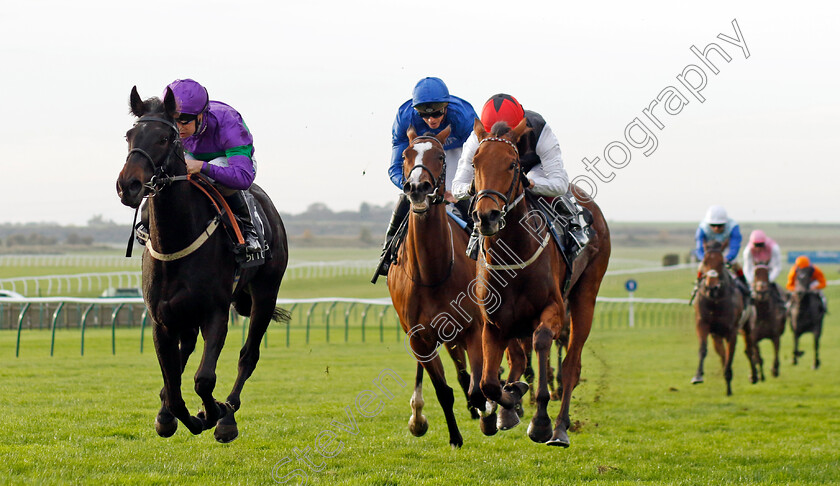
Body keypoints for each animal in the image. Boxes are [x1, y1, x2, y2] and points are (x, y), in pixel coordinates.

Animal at [115, 85, 288, 442]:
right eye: (129, 135)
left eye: (165, 138)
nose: (129, 185)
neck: (176, 242)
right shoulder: (161, 320)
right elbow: (172, 385)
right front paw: (171, 417)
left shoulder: (216, 313)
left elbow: (204, 379)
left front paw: (214, 413)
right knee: (185, 357)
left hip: (266, 293)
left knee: (248, 355)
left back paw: (228, 414)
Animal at [386, 126, 486, 448]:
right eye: (406, 155)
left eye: (440, 156)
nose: (418, 187)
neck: (433, 273)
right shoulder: (420, 338)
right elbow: (444, 390)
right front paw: (452, 436)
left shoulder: (473, 327)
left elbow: (478, 385)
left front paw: (488, 414)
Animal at [470, 119, 608, 446]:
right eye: (474, 162)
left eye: (513, 164)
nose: (487, 216)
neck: (513, 254)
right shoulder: (493, 324)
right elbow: (489, 382)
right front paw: (507, 404)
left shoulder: (553, 309)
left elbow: (543, 341)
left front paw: (540, 420)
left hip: (585, 296)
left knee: (572, 365)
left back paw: (559, 427)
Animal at [688, 240, 756, 394]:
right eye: (705, 261)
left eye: (721, 262)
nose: (712, 287)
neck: (715, 301)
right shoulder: (703, 325)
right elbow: (704, 349)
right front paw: (698, 376)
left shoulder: (732, 331)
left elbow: (730, 354)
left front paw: (729, 382)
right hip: (717, 335)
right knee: (723, 353)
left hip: (747, 327)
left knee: (749, 350)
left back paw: (754, 376)